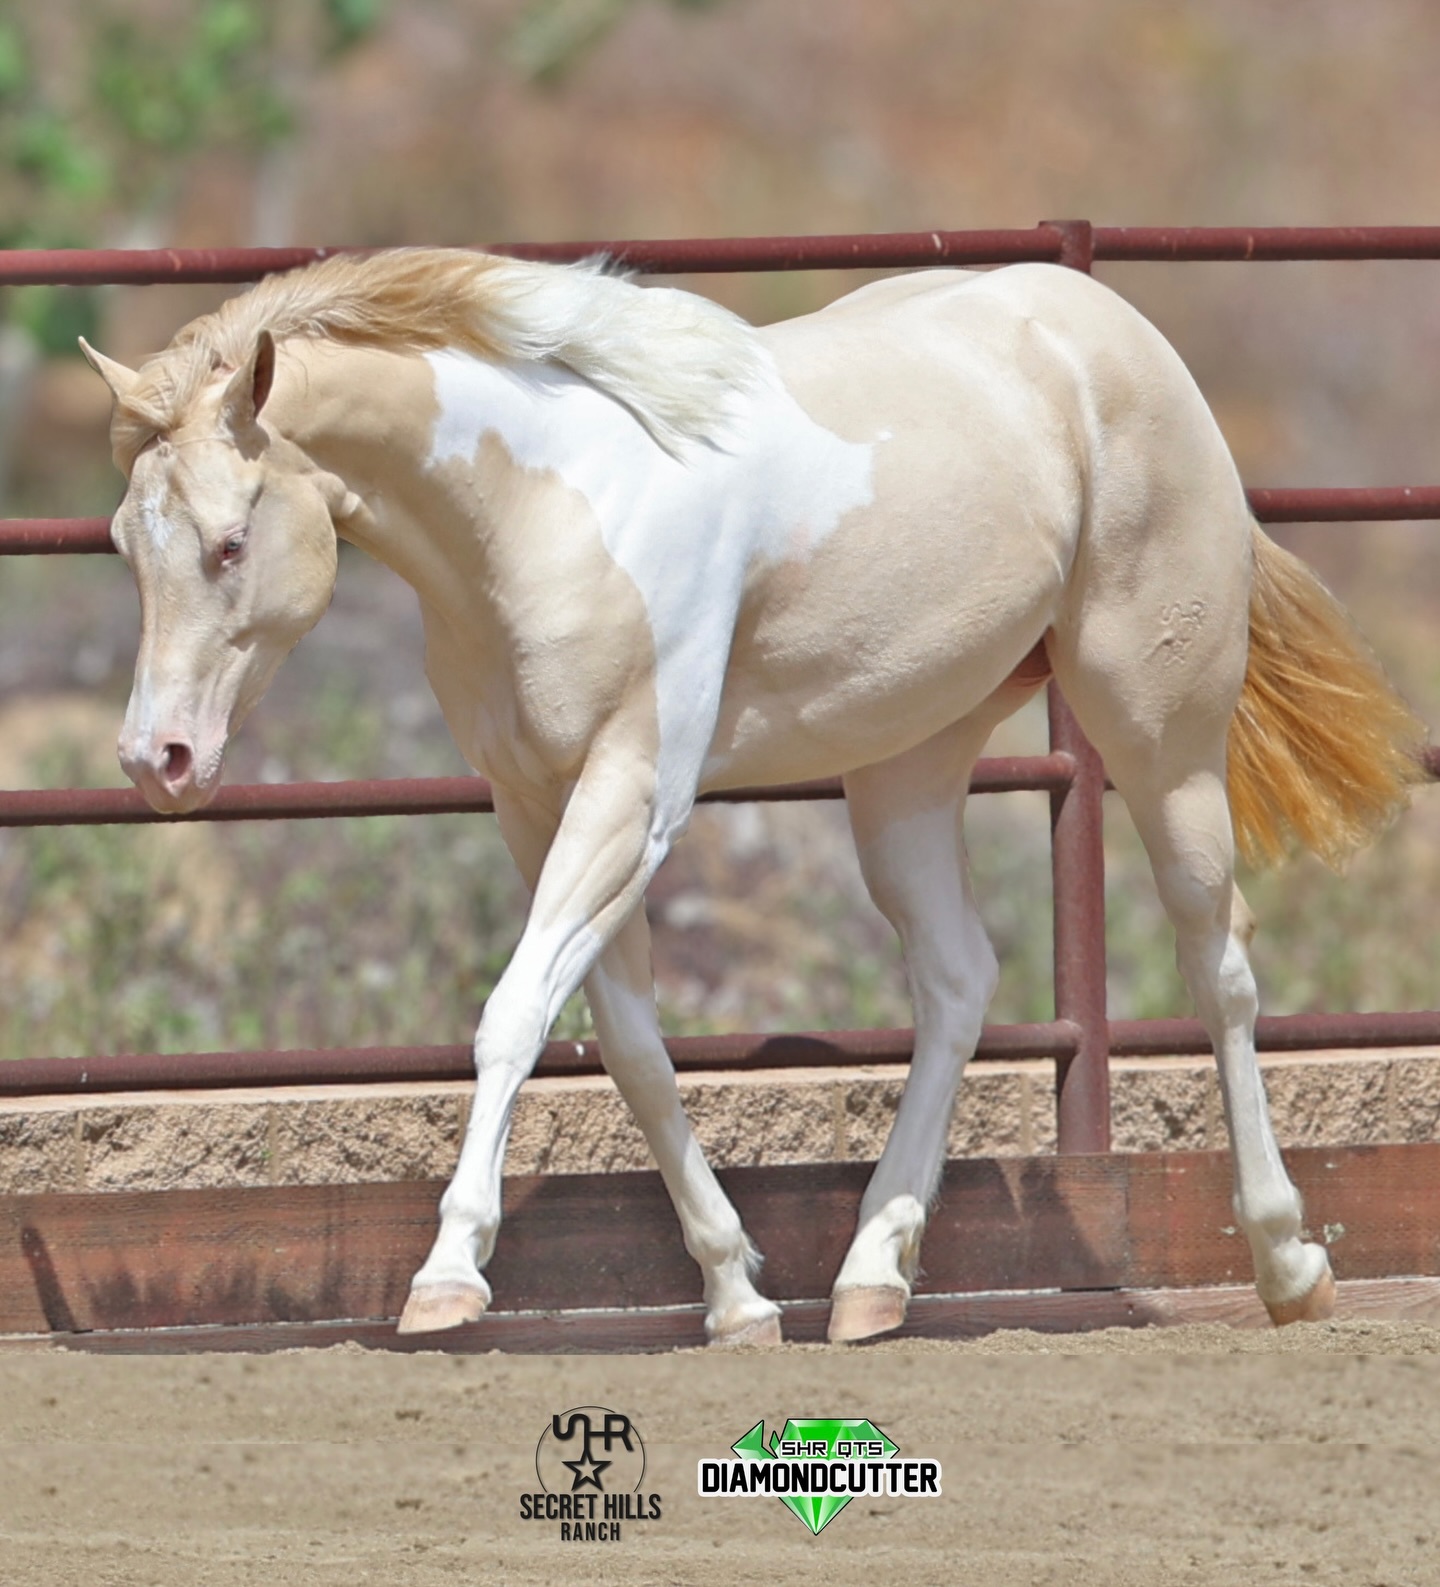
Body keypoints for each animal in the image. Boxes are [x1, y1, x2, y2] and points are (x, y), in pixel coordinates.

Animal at [80, 248, 1424, 1345]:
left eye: (229, 544)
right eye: (123, 544)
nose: (159, 760)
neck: (543, 509)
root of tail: (1117, 331)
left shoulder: (633, 794)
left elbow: (515, 1014)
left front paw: (448, 1275)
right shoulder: (534, 804)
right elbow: (627, 1046)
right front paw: (736, 1296)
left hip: (1159, 733)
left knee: (1219, 963)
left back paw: (1289, 1264)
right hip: (907, 765)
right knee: (958, 980)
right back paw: (874, 1279)